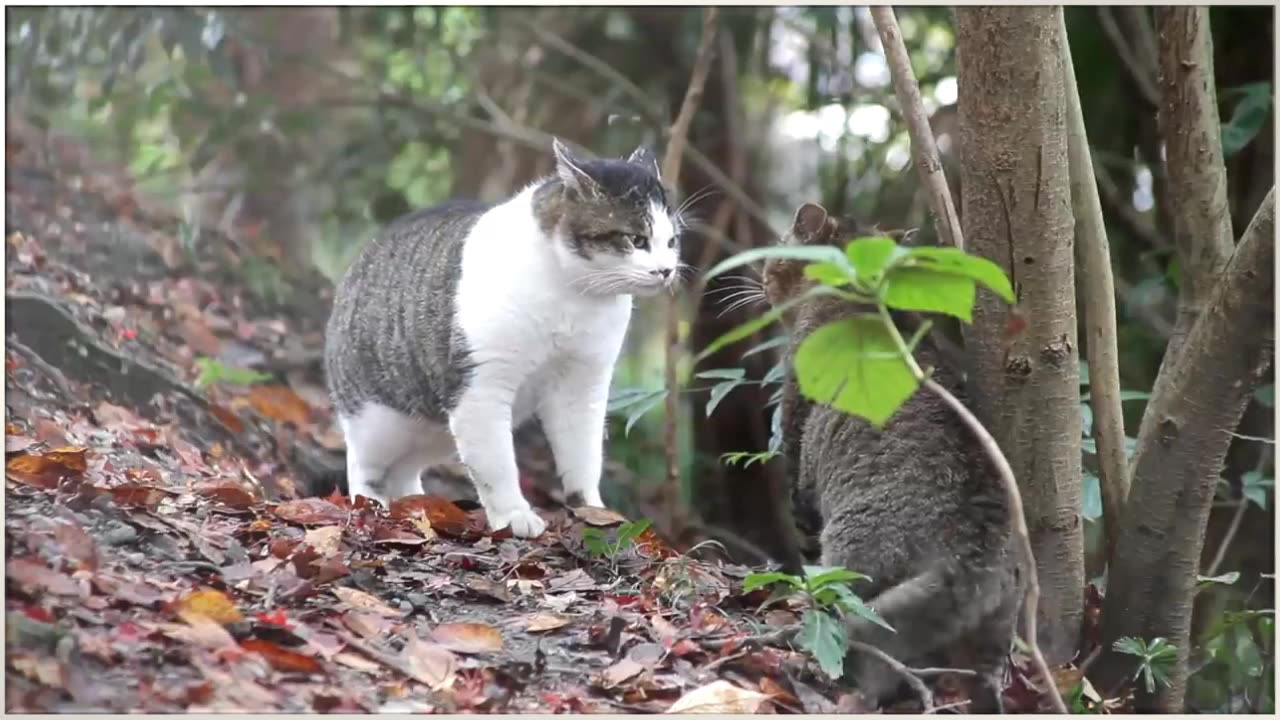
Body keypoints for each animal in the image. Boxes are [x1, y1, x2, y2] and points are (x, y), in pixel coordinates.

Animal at [325, 139, 686, 538]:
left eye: (672, 241)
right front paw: (514, 516)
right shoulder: (481, 387)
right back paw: (373, 506)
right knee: (365, 467)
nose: (667, 270)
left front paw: (593, 511)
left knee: (405, 469)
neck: (573, 296)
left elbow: (583, 455)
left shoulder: (584, 384)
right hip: (377, 420)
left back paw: (415, 505)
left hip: (432, 427)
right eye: (636, 239)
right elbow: (496, 466)